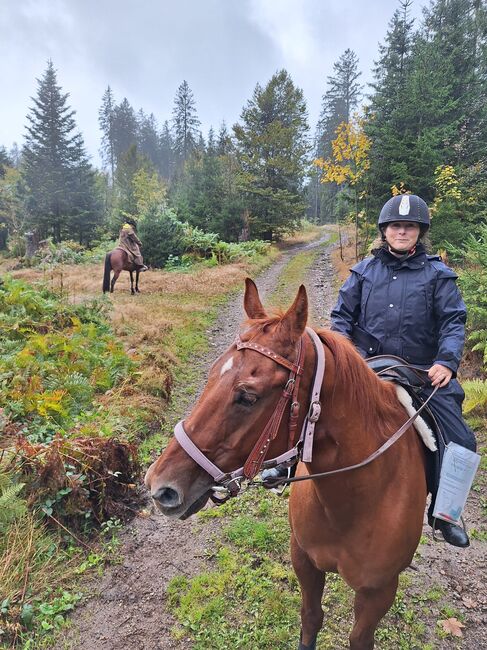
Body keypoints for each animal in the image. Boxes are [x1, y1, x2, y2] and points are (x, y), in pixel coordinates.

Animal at [145, 278, 428, 648]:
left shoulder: (378, 592)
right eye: (211, 376)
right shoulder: (304, 559)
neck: (357, 498)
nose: (159, 487)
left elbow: (359, 638)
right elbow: (310, 618)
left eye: (248, 397)